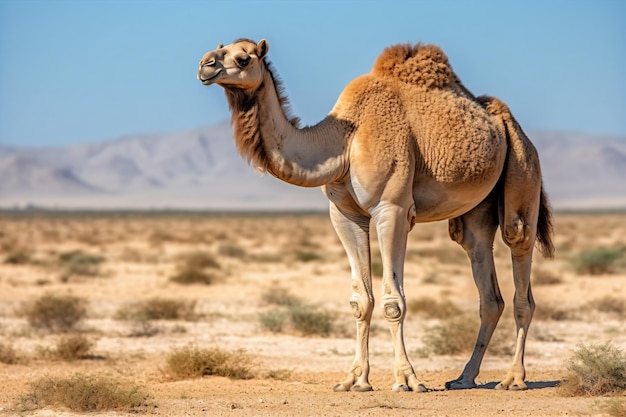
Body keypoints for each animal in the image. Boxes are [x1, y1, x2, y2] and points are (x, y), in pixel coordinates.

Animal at [197, 37, 552, 392]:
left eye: (243, 58)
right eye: (220, 49)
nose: (205, 65)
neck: (343, 142)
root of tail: (509, 124)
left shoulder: (391, 209)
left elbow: (393, 301)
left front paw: (407, 380)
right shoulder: (344, 214)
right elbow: (361, 301)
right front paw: (355, 379)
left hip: (523, 171)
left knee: (521, 269)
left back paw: (514, 378)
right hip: (476, 212)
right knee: (486, 284)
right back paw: (464, 377)